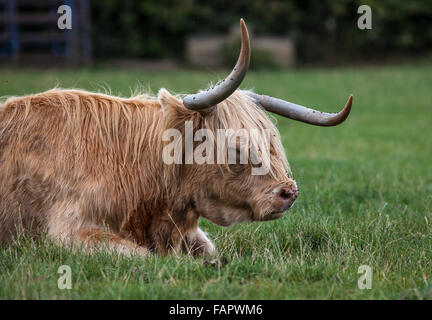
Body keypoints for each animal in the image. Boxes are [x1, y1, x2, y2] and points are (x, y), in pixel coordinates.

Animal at [0, 19, 352, 255]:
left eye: (273, 145)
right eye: (237, 149)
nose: (289, 192)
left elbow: (210, 253)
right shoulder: (66, 232)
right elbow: (143, 257)